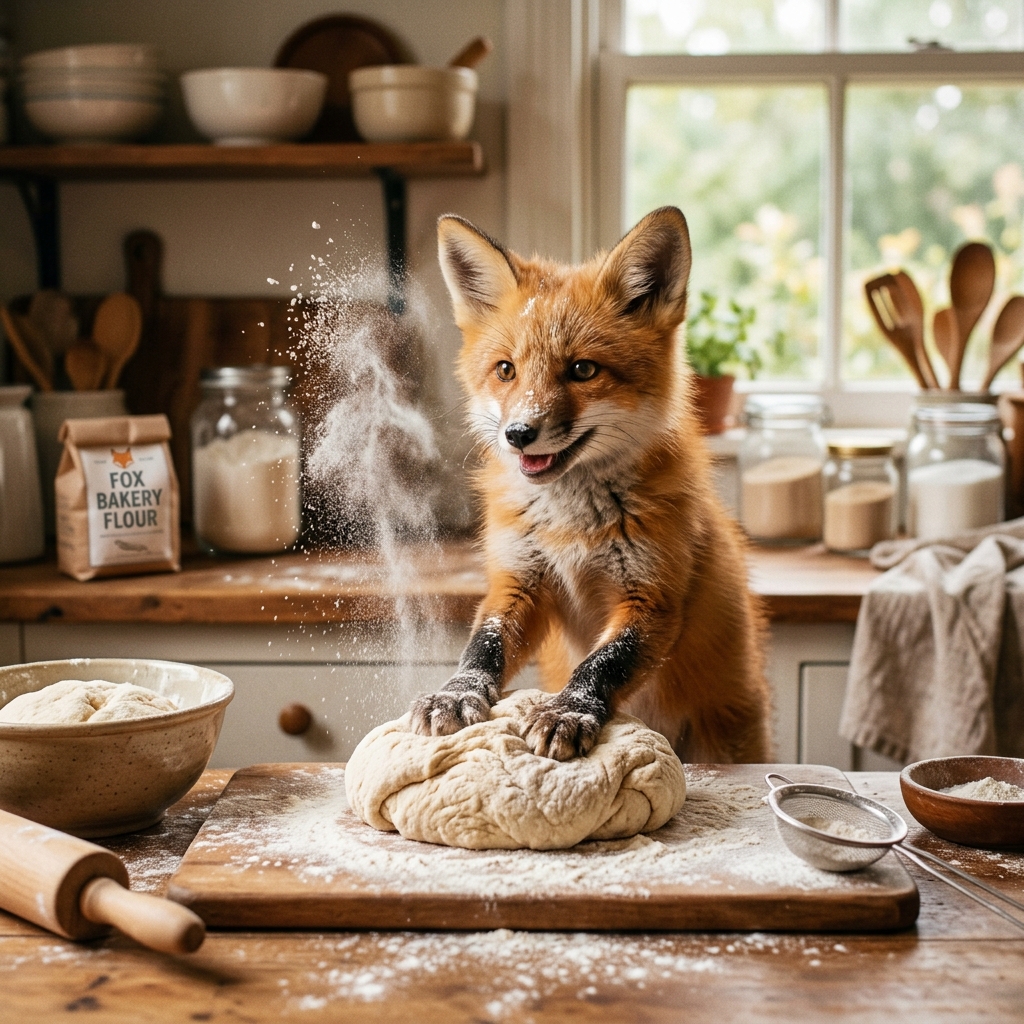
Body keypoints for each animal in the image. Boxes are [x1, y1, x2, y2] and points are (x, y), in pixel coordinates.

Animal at [410, 206, 771, 763]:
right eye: (506, 370)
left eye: (583, 369)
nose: (518, 434)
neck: (569, 526)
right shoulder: (518, 580)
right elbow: (483, 646)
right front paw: (456, 692)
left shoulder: (653, 597)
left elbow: (603, 664)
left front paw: (568, 711)